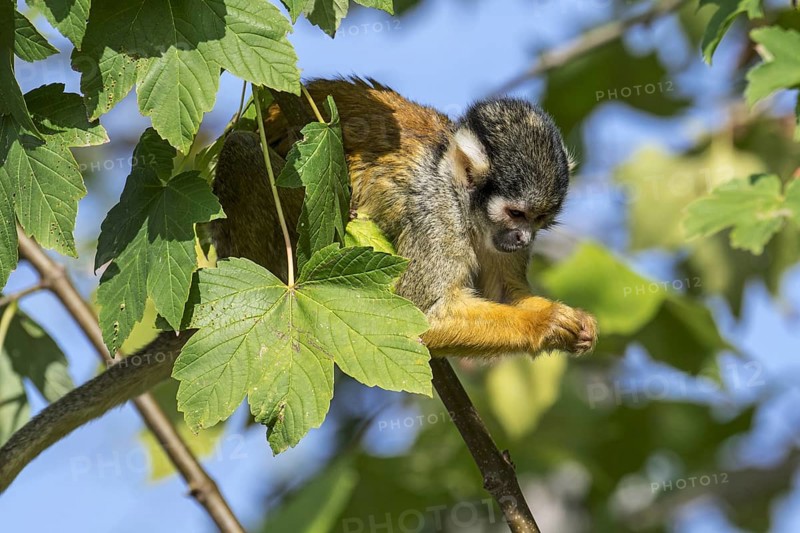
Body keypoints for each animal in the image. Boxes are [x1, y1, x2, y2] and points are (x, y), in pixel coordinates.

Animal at [0, 78, 596, 491]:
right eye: (515, 213)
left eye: (539, 220)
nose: (520, 237)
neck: (458, 194)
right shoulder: (433, 215)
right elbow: (424, 318)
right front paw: (546, 324)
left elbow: (501, 294)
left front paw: (563, 319)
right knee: (245, 150)